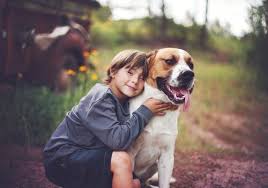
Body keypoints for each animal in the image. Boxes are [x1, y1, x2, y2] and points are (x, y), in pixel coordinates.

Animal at [127, 47, 195, 187]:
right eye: (169, 61)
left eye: (191, 65)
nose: (189, 74)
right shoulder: (130, 153)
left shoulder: (167, 157)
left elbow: (164, 183)